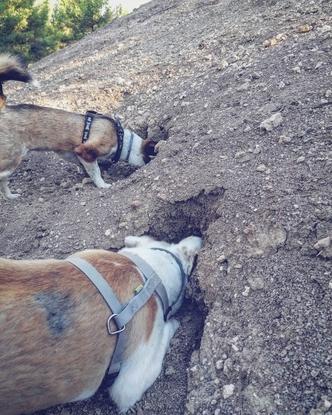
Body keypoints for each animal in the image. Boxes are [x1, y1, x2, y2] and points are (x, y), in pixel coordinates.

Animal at [0, 55, 157, 200]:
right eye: (149, 157)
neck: (122, 139)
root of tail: (4, 109)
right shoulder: (86, 151)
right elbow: (96, 172)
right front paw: (102, 185)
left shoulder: (69, 152)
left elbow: (84, 166)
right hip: (12, 158)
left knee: (4, 183)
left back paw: (11, 196)